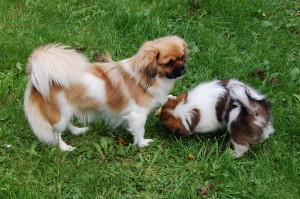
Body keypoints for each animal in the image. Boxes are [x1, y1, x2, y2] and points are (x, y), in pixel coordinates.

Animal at [24, 35, 188, 151]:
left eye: (182, 57)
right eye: (168, 63)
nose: (182, 67)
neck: (150, 78)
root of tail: (36, 76)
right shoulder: (138, 115)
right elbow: (140, 131)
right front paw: (143, 144)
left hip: (65, 111)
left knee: (67, 124)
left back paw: (77, 131)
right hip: (59, 113)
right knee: (56, 133)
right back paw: (65, 147)